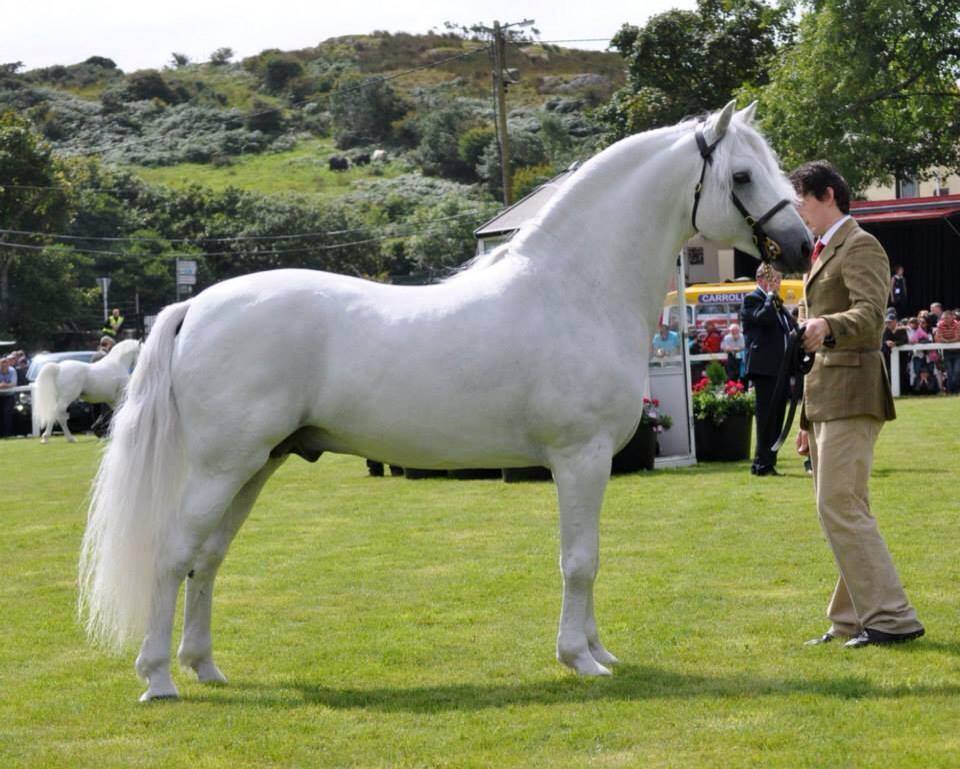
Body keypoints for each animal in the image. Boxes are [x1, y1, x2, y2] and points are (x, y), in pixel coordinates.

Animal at [80, 102, 808, 704]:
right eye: (743, 175)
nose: (801, 246)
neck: (574, 288)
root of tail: (199, 305)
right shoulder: (582, 457)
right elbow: (580, 560)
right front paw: (579, 658)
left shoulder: (590, 461)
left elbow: (588, 558)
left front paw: (599, 651)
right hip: (222, 466)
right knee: (173, 553)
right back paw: (158, 678)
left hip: (256, 465)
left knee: (207, 558)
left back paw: (204, 666)